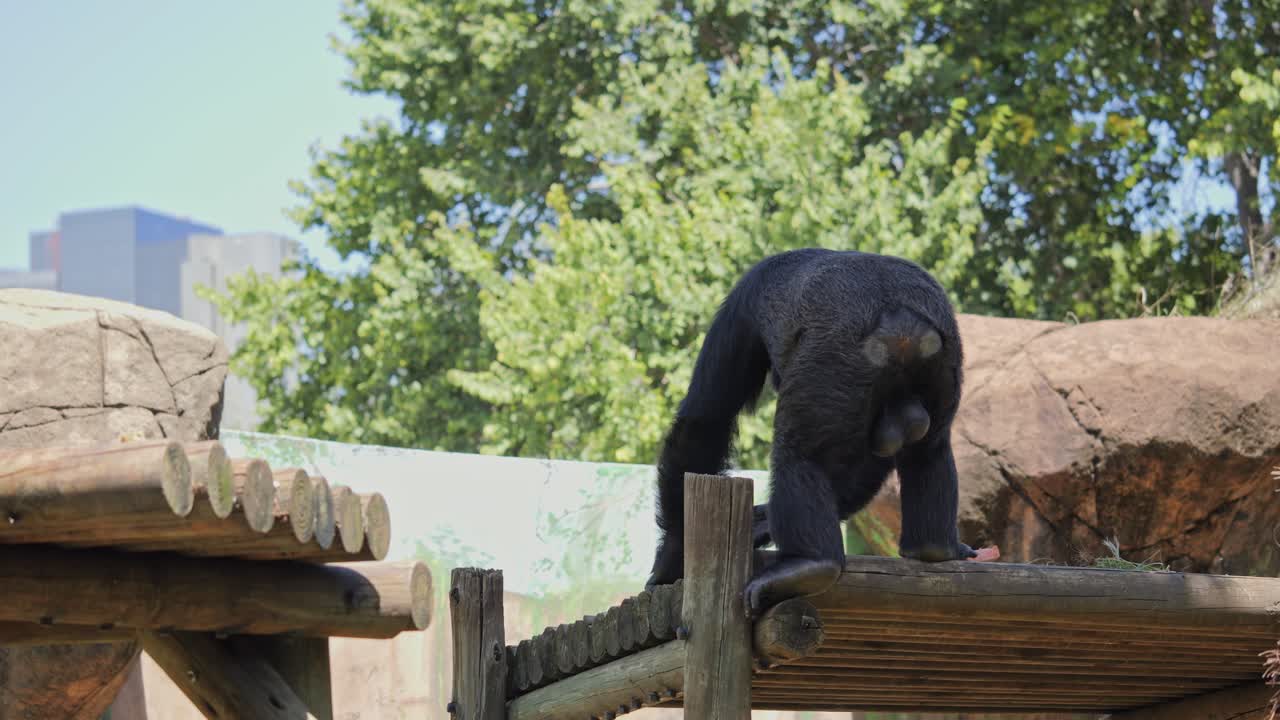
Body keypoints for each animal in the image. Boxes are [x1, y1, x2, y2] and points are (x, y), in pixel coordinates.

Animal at [645, 248, 992, 618]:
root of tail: (901, 323)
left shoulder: (740, 306)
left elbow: (706, 416)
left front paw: (673, 555)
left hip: (832, 368)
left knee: (797, 453)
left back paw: (810, 564)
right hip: (943, 364)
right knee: (930, 448)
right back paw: (934, 547)